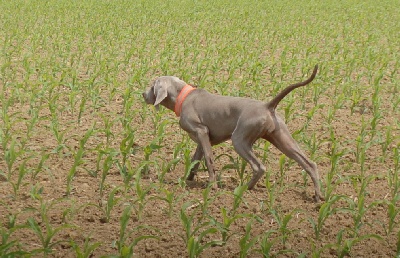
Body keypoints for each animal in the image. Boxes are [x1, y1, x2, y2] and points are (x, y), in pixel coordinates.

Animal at [142, 64, 324, 202]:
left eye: (152, 86)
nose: (142, 94)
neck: (183, 97)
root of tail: (267, 106)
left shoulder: (201, 131)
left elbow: (209, 160)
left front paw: (212, 185)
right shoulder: (202, 139)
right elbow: (195, 162)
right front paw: (188, 180)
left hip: (240, 140)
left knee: (259, 167)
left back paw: (245, 188)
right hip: (281, 138)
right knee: (309, 163)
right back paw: (318, 195)